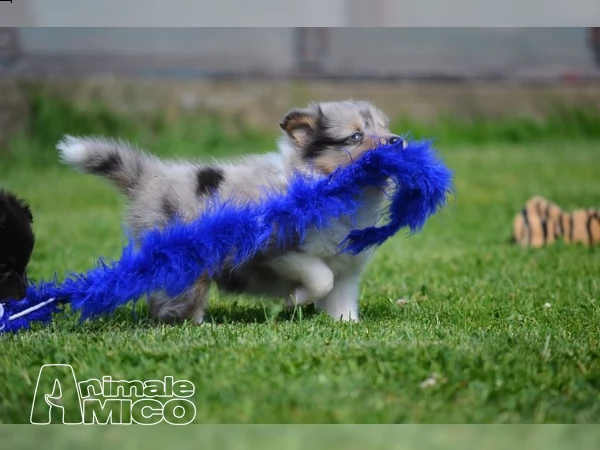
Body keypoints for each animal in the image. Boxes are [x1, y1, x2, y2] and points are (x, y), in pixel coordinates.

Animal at [57, 100, 404, 322]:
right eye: (356, 136)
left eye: (385, 127)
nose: (398, 142)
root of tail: (149, 179)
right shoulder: (274, 252)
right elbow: (321, 277)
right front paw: (295, 300)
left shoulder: (348, 267)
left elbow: (340, 295)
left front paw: (347, 326)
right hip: (187, 260)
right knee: (176, 298)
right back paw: (194, 325)